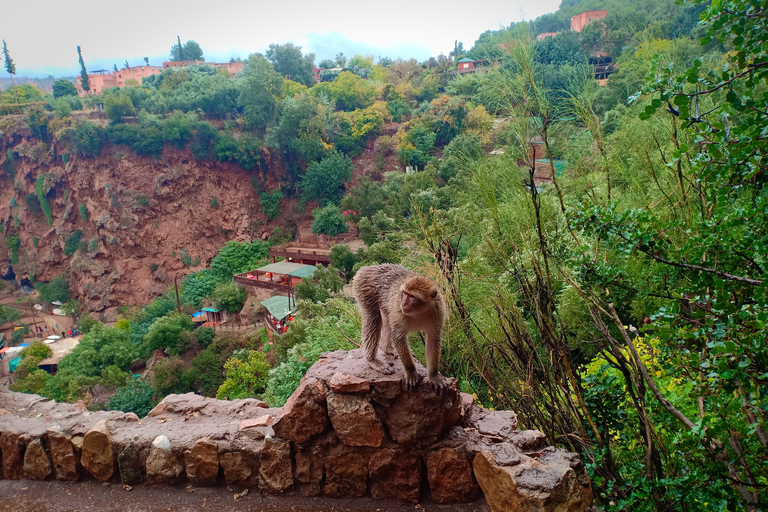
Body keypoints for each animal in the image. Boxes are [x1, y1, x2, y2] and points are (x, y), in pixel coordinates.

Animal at [352, 264, 448, 392]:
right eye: (405, 294)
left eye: (412, 296)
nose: (404, 303)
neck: (419, 312)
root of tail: (368, 267)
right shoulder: (398, 310)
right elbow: (398, 336)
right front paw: (411, 372)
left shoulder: (438, 311)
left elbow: (433, 339)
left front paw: (433, 375)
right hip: (364, 287)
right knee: (373, 319)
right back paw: (372, 361)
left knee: (386, 319)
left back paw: (387, 348)